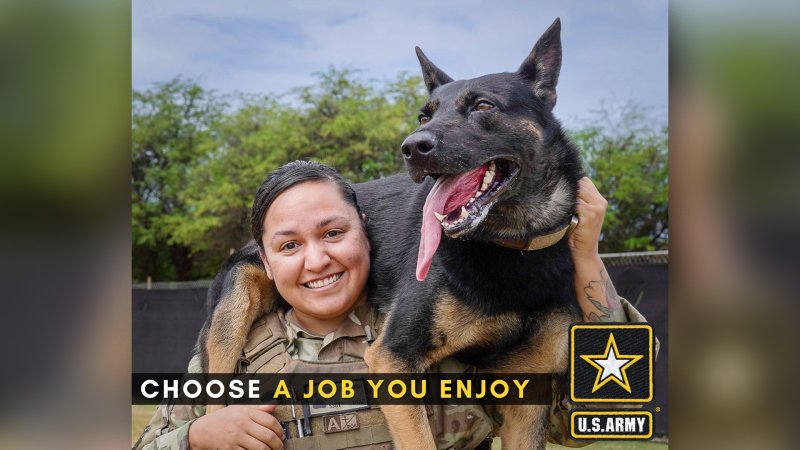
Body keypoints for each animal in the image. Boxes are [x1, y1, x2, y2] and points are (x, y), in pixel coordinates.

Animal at [197, 16, 584, 446]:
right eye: (423, 117)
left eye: (483, 106)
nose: (412, 147)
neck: (510, 245)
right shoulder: (393, 357)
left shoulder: (529, 395)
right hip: (233, 312)